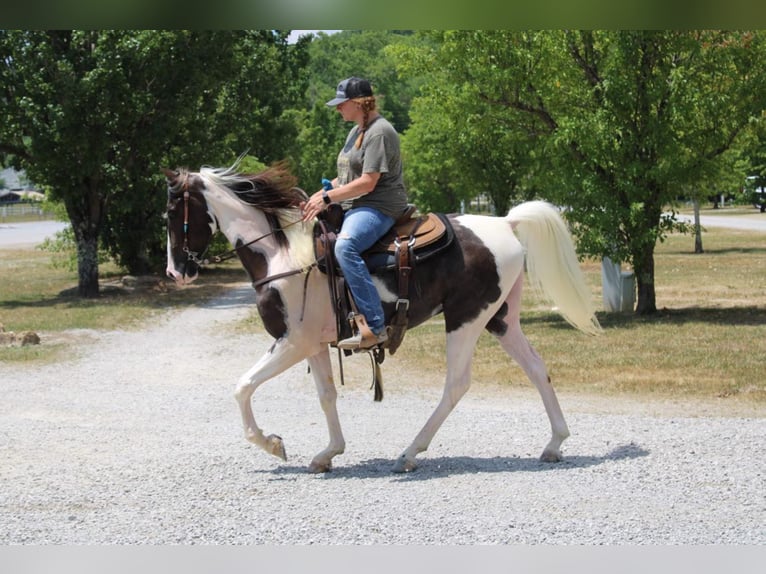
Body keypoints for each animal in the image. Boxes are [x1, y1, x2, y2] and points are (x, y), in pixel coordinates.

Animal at [165, 161, 604, 472]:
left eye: (173, 213)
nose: (175, 272)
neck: (282, 255)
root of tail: (506, 222)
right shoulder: (313, 344)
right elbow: (326, 395)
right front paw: (328, 453)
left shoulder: (291, 342)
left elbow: (242, 386)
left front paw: (272, 444)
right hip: (501, 320)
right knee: (537, 368)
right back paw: (554, 443)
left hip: (465, 319)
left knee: (456, 385)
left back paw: (409, 453)